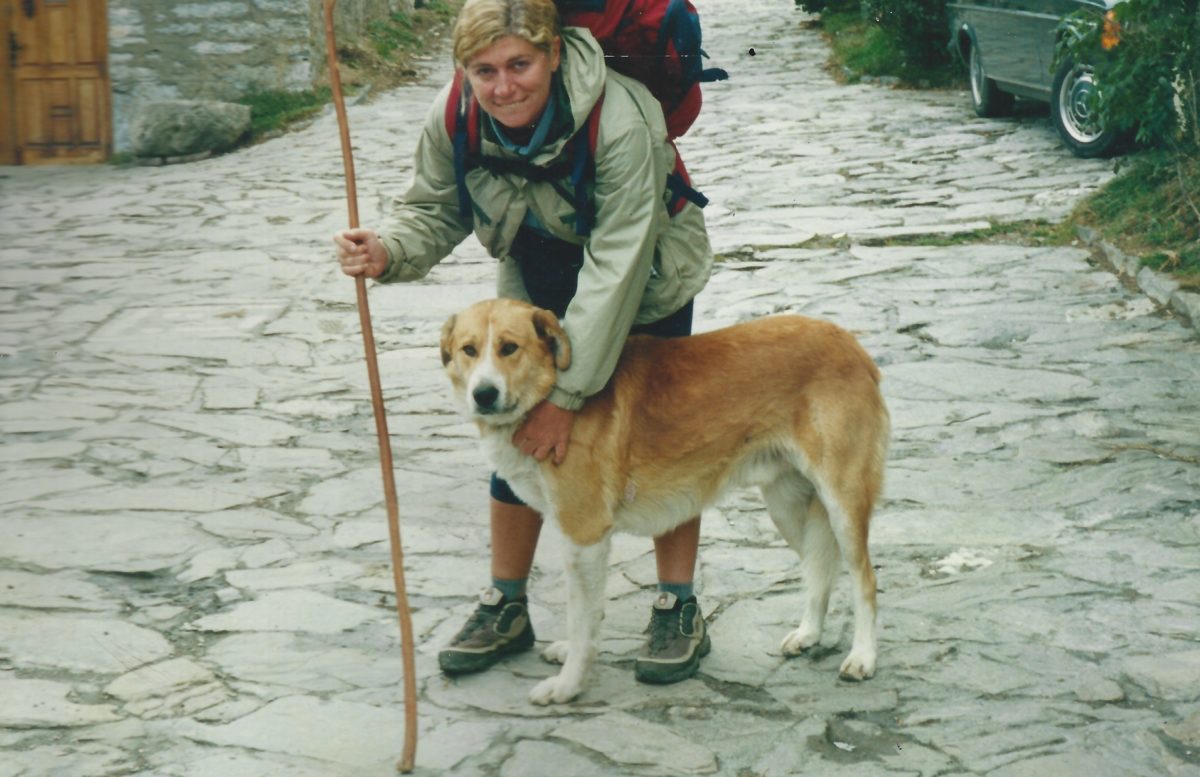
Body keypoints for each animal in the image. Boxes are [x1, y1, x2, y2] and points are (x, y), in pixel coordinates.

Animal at [441, 297, 892, 705]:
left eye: (509, 348)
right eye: (469, 350)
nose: (484, 394)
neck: (551, 393)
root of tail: (851, 344)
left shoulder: (585, 534)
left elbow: (582, 617)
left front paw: (568, 686)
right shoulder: (583, 542)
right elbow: (588, 613)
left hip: (842, 502)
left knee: (864, 579)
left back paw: (863, 657)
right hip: (788, 507)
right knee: (819, 568)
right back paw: (809, 633)